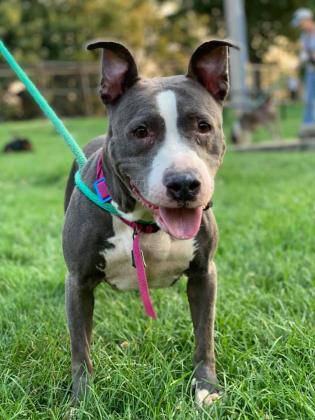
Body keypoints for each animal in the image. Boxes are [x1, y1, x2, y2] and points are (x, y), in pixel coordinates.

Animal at [63, 39, 237, 406]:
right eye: (141, 131)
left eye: (203, 126)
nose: (184, 183)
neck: (145, 224)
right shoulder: (78, 282)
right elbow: (80, 348)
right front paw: (82, 402)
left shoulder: (204, 275)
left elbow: (204, 337)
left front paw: (207, 387)